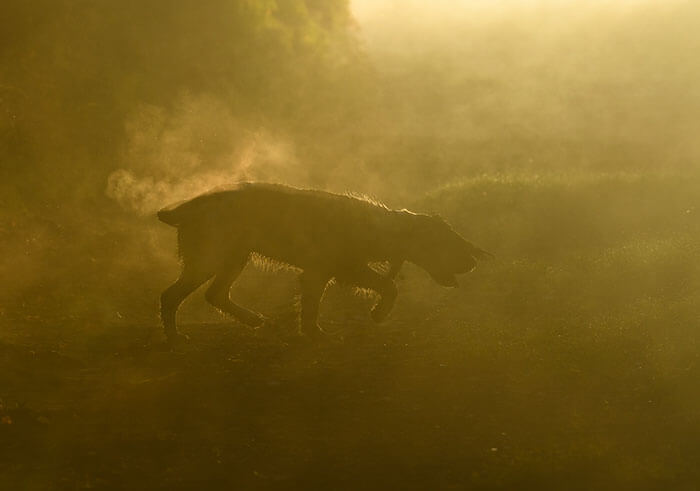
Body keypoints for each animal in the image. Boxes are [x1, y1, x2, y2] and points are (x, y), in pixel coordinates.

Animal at [157, 182, 492, 342]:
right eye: (448, 243)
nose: (473, 262)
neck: (381, 228)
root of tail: (183, 210)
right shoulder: (337, 270)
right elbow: (389, 286)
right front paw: (378, 313)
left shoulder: (325, 272)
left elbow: (311, 307)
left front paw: (313, 334)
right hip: (210, 259)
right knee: (170, 296)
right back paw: (175, 337)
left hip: (234, 258)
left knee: (215, 294)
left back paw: (253, 319)